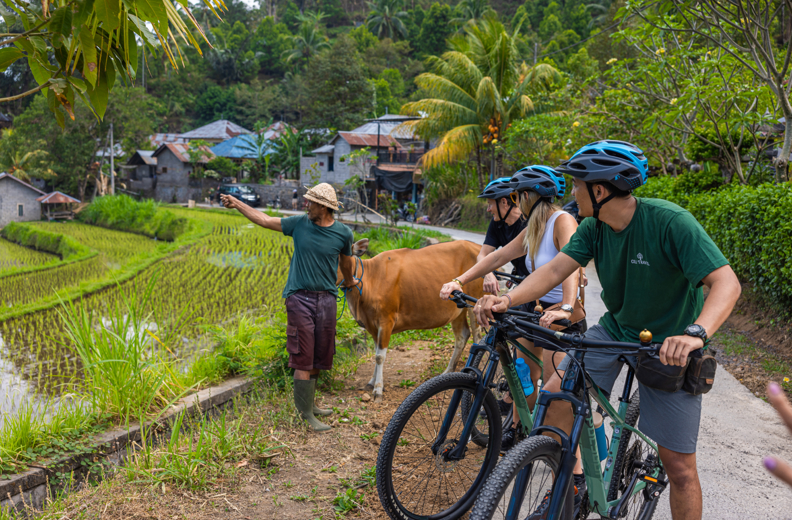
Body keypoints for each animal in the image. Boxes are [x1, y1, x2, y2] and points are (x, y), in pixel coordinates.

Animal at [338, 238, 486, 400]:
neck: (371, 279)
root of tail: (476, 245)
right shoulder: (371, 324)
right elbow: (376, 352)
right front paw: (372, 381)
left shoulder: (387, 320)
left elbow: (379, 356)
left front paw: (378, 389)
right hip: (458, 308)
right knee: (462, 336)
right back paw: (448, 371)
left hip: (475, 301)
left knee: (477, 336)